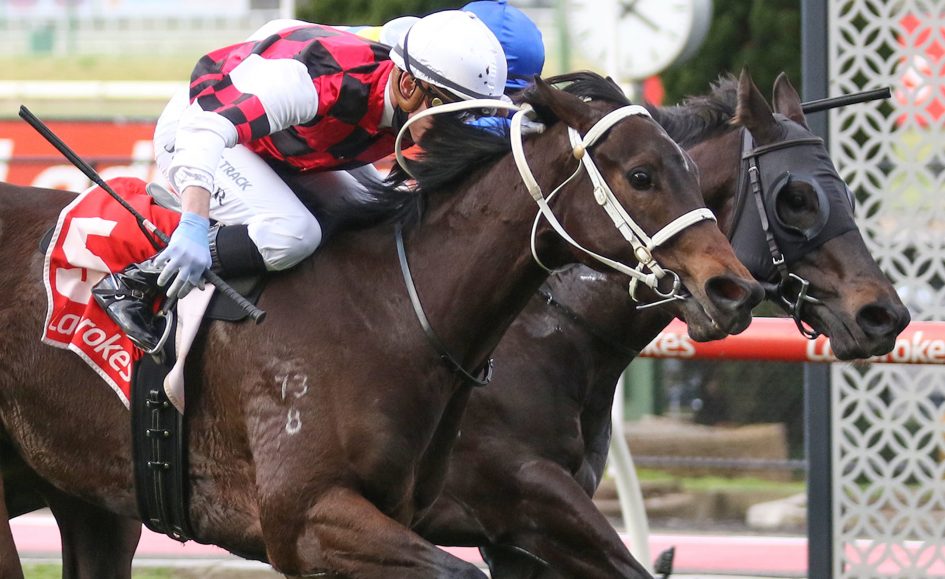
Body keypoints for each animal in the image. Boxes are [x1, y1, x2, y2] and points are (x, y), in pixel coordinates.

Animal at [0, 75, 763, 578]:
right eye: (641, 174)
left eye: (690, 169)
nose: (732, 289)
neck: (392, 312)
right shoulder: (307, 515)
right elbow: (460, 571)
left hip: (89, 496)